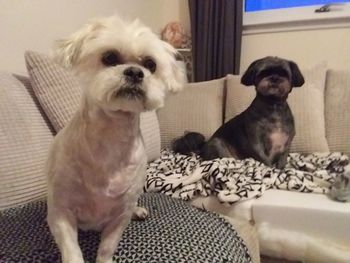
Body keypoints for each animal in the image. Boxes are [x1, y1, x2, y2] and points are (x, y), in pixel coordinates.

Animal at [46, 16, 186, 263]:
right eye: (109, 57)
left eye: (150, 64)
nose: (135, 72)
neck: (111, 136)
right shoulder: (61, 212)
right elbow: (72, 250)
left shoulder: (120, 215)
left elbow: (107, 247)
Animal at [174, 56, 304, 170]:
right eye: (263, 73)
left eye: (284, 73)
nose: (274, 78)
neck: (272, 106)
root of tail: (203, 147)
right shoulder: (256, 141)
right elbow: (264, 159)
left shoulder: (286, 143)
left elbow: (282, 160)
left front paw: (281, 169)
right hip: (218, 144)